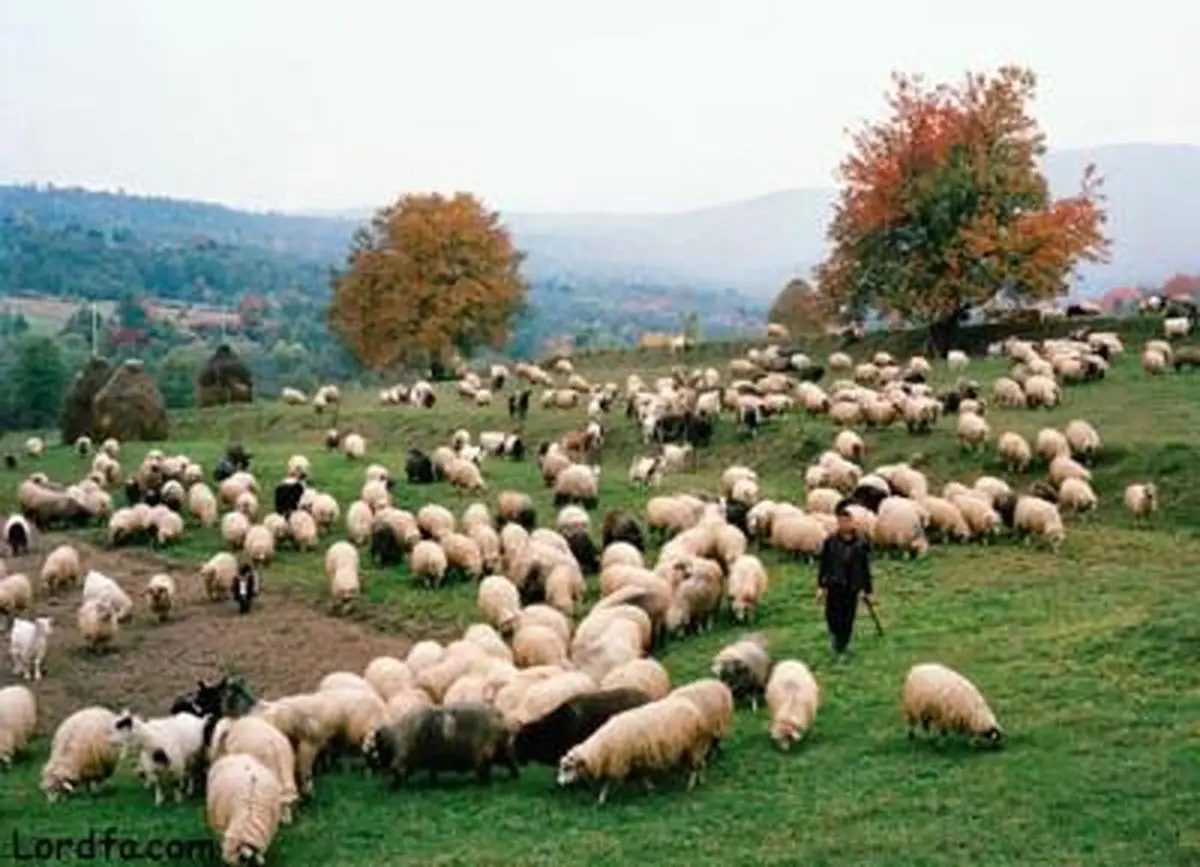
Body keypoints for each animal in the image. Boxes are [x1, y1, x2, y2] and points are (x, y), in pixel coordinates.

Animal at [554, 691, 710, 802]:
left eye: (567, 767)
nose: (559, 783)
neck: (600, 747)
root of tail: (694, 710)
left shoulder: (618, 761)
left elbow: (607, 782)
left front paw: (601, 799)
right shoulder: (632, 760)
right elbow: (641, 776)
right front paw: (650, 788)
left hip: (693, 745)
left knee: (695, 767)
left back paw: (690, 786)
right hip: (693, 746)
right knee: (701, 763)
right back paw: (701, 780)